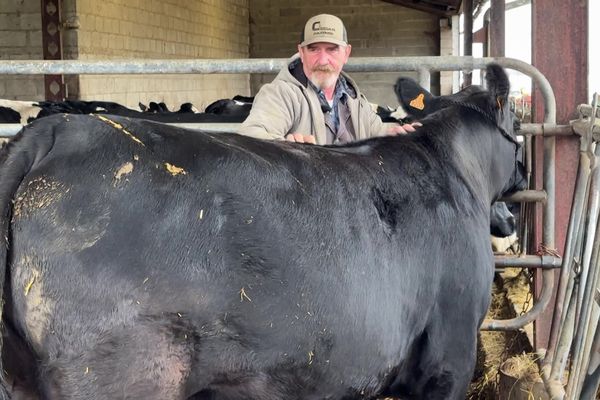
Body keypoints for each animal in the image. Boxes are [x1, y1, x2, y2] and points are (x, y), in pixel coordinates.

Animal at [0, 64, 520, 398]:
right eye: (517, 121)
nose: (513, 218)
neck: (453, 166)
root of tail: (57, 133)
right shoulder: (450, 351)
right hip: (122, 370)